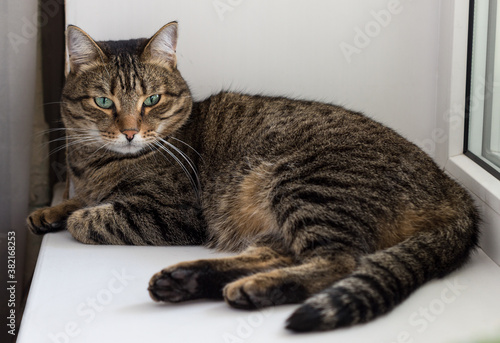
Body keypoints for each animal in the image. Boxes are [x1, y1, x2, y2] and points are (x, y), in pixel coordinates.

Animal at [27, 22, 480, 334]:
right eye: (104, 102)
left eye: (151, 100)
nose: (130, 131)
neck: (93, 161)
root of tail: (455, 192)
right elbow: (80, 200)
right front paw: (50, 210)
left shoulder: (175, 215)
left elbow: (91, 218)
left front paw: (75, 214)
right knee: (282, 254)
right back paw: (188, 281)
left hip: (304, 184)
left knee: (338, 260)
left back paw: (251, 289)